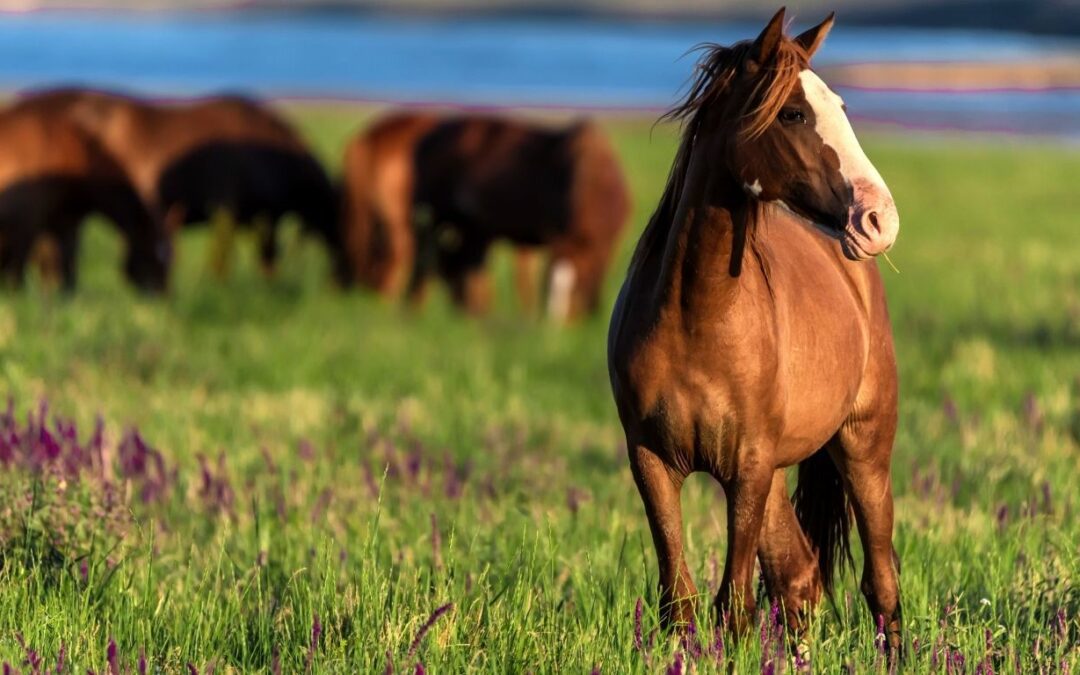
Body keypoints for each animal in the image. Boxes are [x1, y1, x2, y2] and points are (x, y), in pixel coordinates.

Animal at [0, 105, 170, 291]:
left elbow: (64, 260)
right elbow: (20, 261)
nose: (159, 292)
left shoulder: (62, 220)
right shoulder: (28, 220)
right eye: (153, 251)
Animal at [607, 8, 903, 654]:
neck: (699, 318)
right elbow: (681, 603)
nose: (879, 219)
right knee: (800, 579)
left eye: (841, 106)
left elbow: (733, 607)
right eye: (792, 113)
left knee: (881, 582)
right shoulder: (653, 462)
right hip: (779, 476)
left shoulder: (747, 468)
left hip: (863, 450)